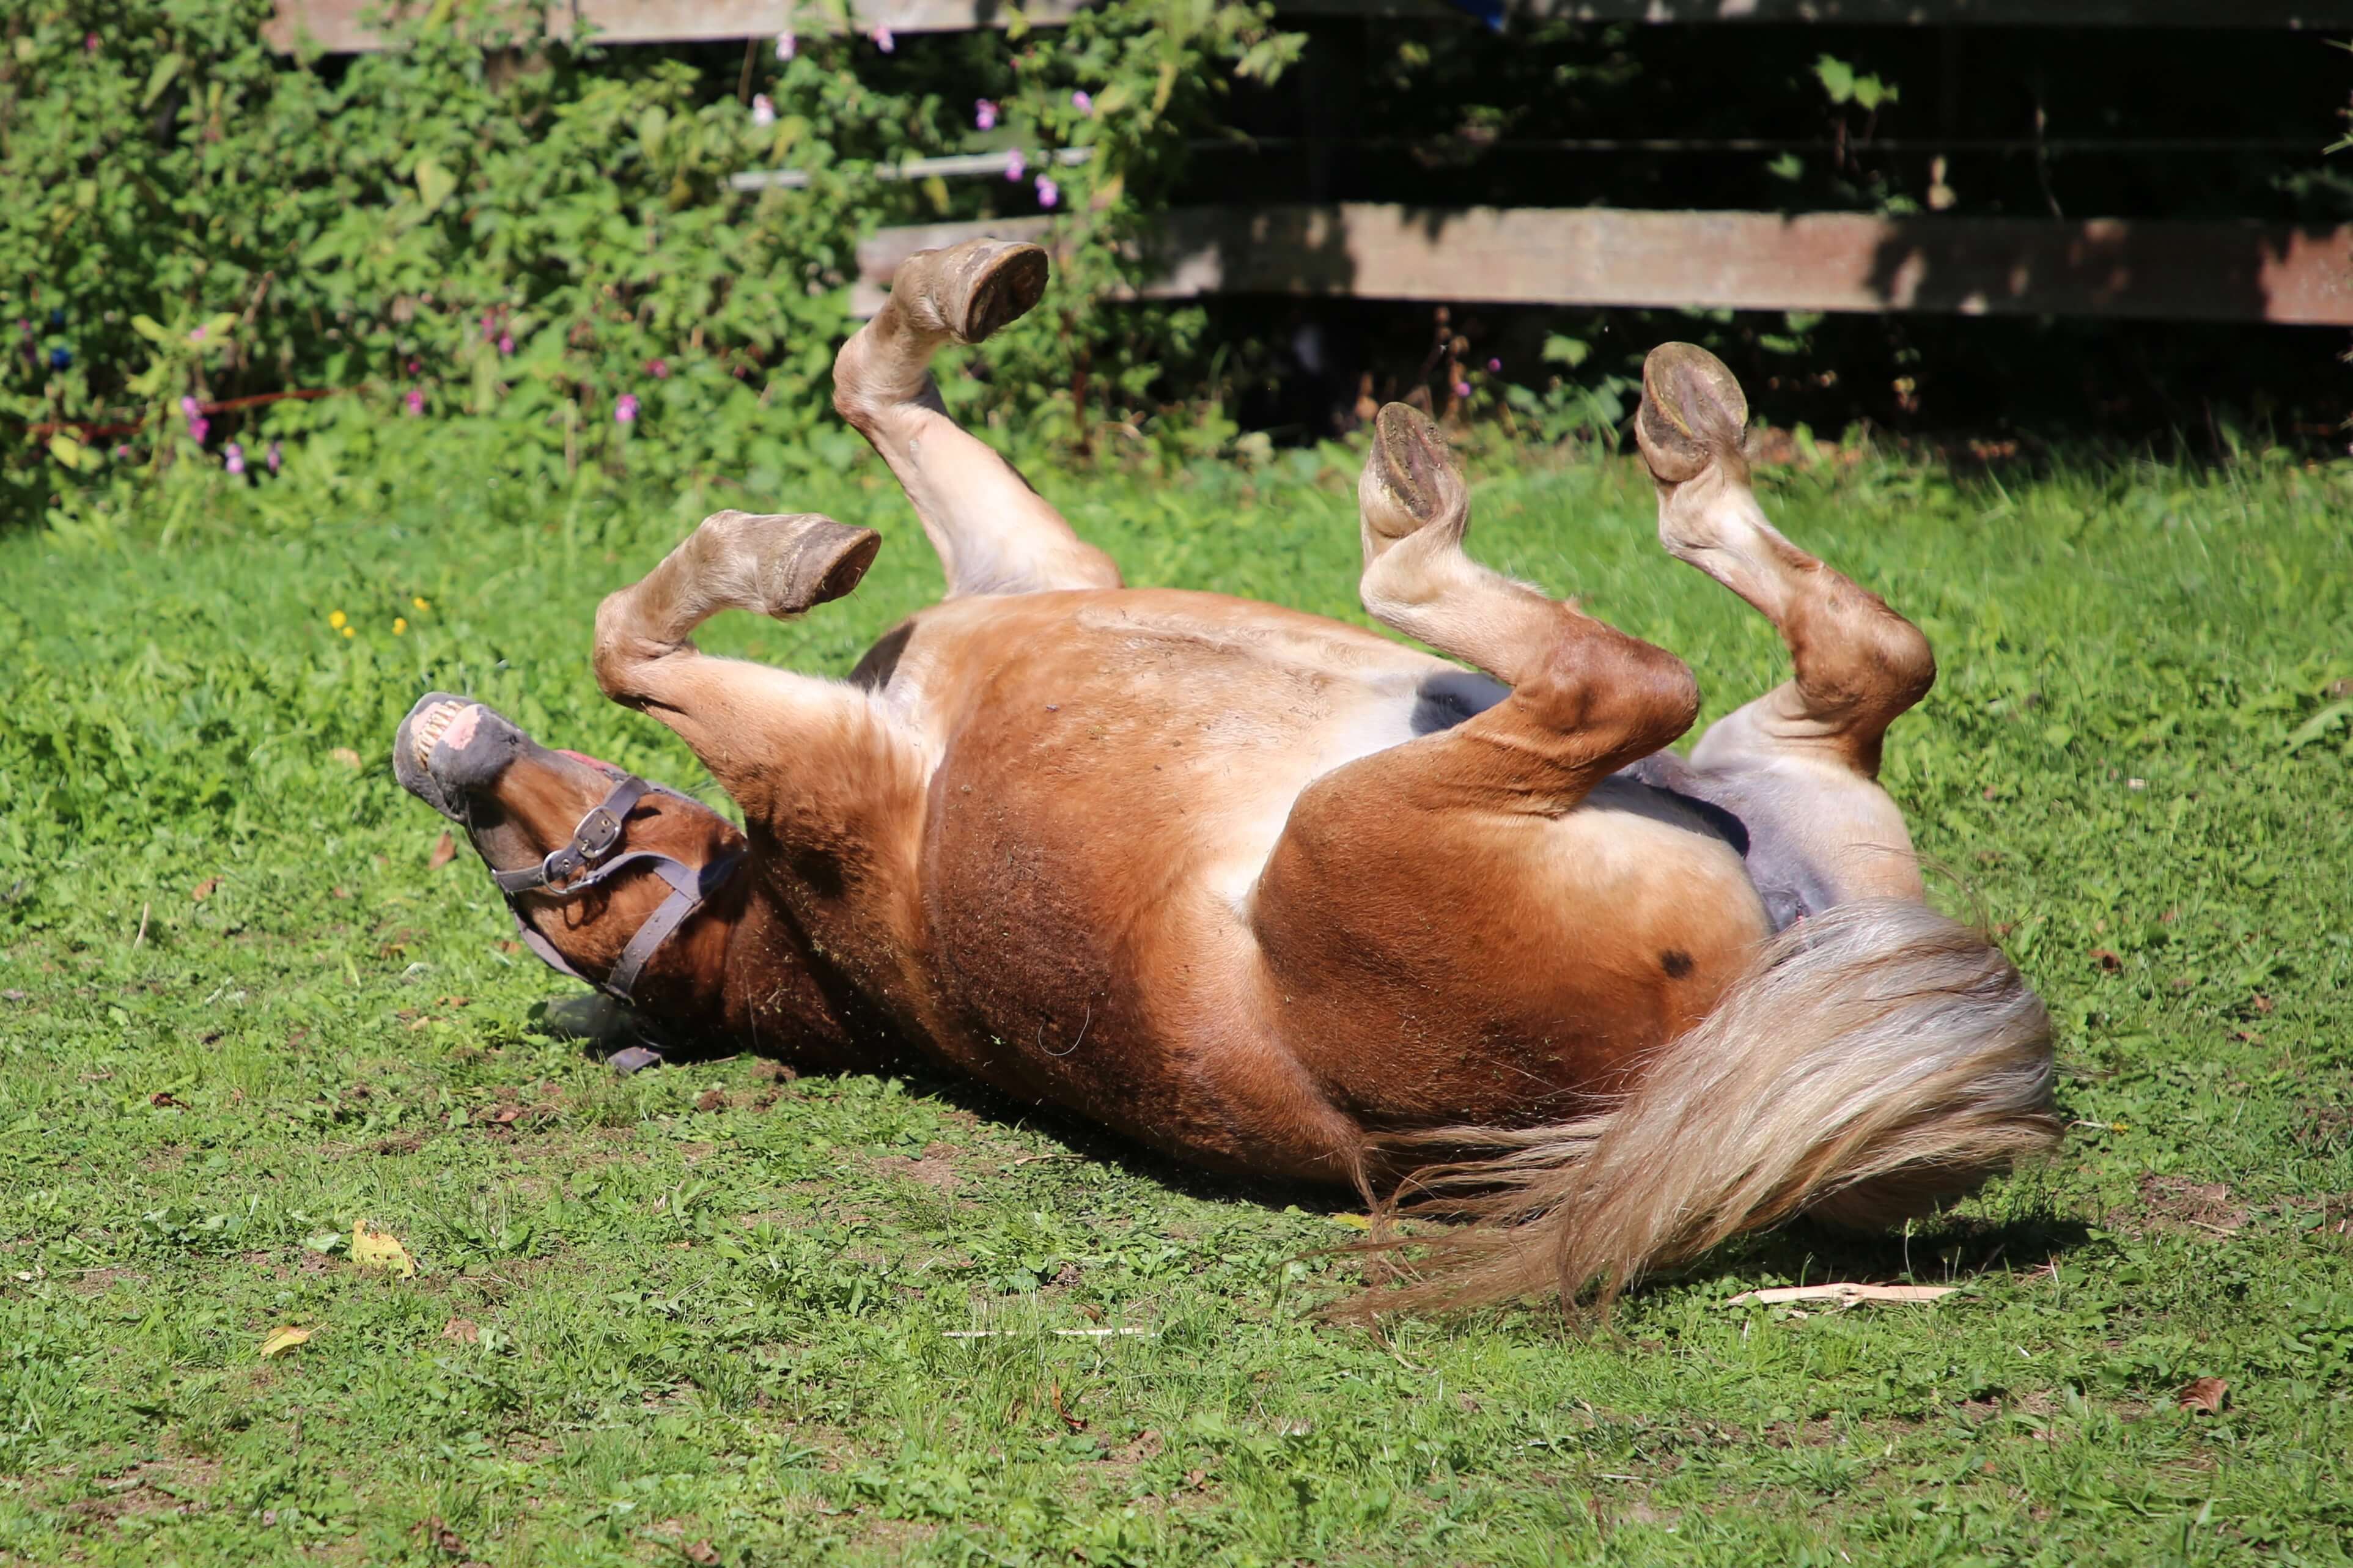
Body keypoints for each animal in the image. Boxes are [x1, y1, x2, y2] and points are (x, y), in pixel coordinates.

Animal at [393, 238, 2059, 1313]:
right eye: (565, 914)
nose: (434, 750)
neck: (799, 922)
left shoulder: (1033, 572)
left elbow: (867, 389)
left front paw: (954, 288)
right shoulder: (836, 754)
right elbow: (627, 642)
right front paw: (789, 550)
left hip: (1782, 780)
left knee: (1862, 657)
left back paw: (1673, 430)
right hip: (1373, 813)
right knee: (1621, 672)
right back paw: (1432, 497)